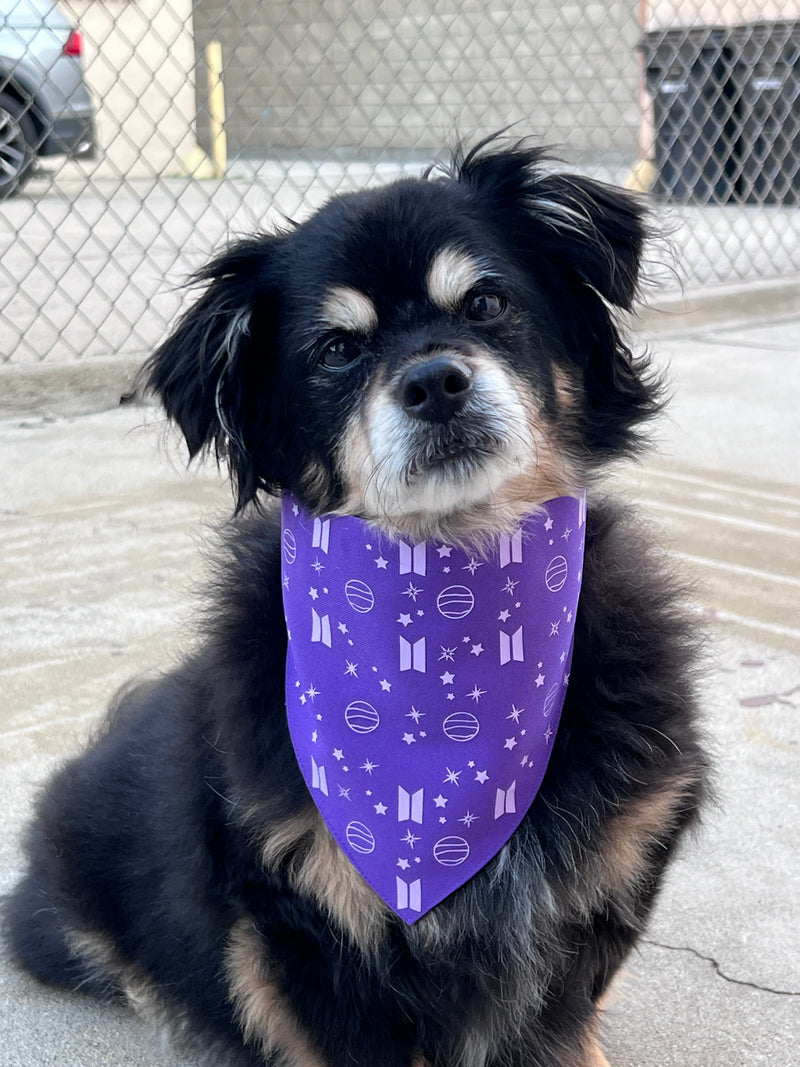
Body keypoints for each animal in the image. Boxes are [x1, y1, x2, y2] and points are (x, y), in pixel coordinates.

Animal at [6, 139, 708, 1067]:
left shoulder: (599, 894)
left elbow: (560, 1024)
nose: (436, 381)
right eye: (336, 349)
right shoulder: (311, 928)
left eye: (487, 302)